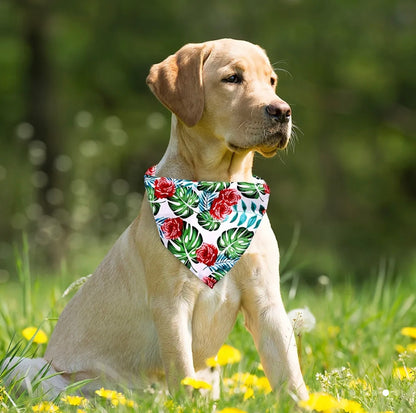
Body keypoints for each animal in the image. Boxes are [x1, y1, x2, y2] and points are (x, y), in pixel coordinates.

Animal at [3, 38, 308, 400]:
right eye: (232, 78)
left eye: (272, 81)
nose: (283, 111)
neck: (220, 190)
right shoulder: (171, 305)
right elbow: (182, 368)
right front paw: (187, 403)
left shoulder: (266, 303)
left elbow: (291, 375)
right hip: (25, 366)